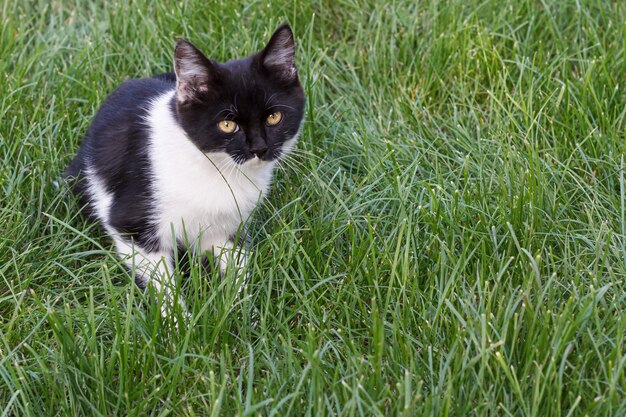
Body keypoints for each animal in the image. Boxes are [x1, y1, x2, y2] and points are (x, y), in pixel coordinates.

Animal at [64, 23, 304, 316]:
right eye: (227, 125)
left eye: (274, 117)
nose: (259, 148)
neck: (217, 169)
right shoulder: (131, 226)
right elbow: (161, 280)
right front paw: (178, 321)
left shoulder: (227, 226)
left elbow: (236, 264)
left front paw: (244, 309)